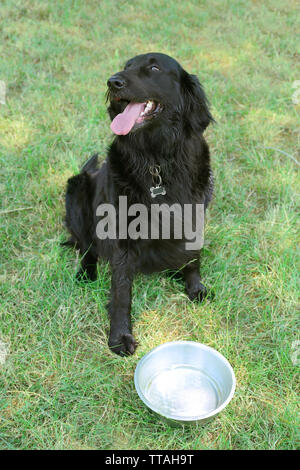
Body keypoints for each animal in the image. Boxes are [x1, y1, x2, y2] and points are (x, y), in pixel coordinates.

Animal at [64, 53, 214, 356]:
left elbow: (194, 256)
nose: (113, 81)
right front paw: (120, 336)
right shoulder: (121, 232)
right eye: (126, 66)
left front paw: (195, 287)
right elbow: (122, 290)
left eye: (154, 68)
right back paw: (86, 273)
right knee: (86, 247)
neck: (157, 160)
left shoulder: (195, 213)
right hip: (77, 189)